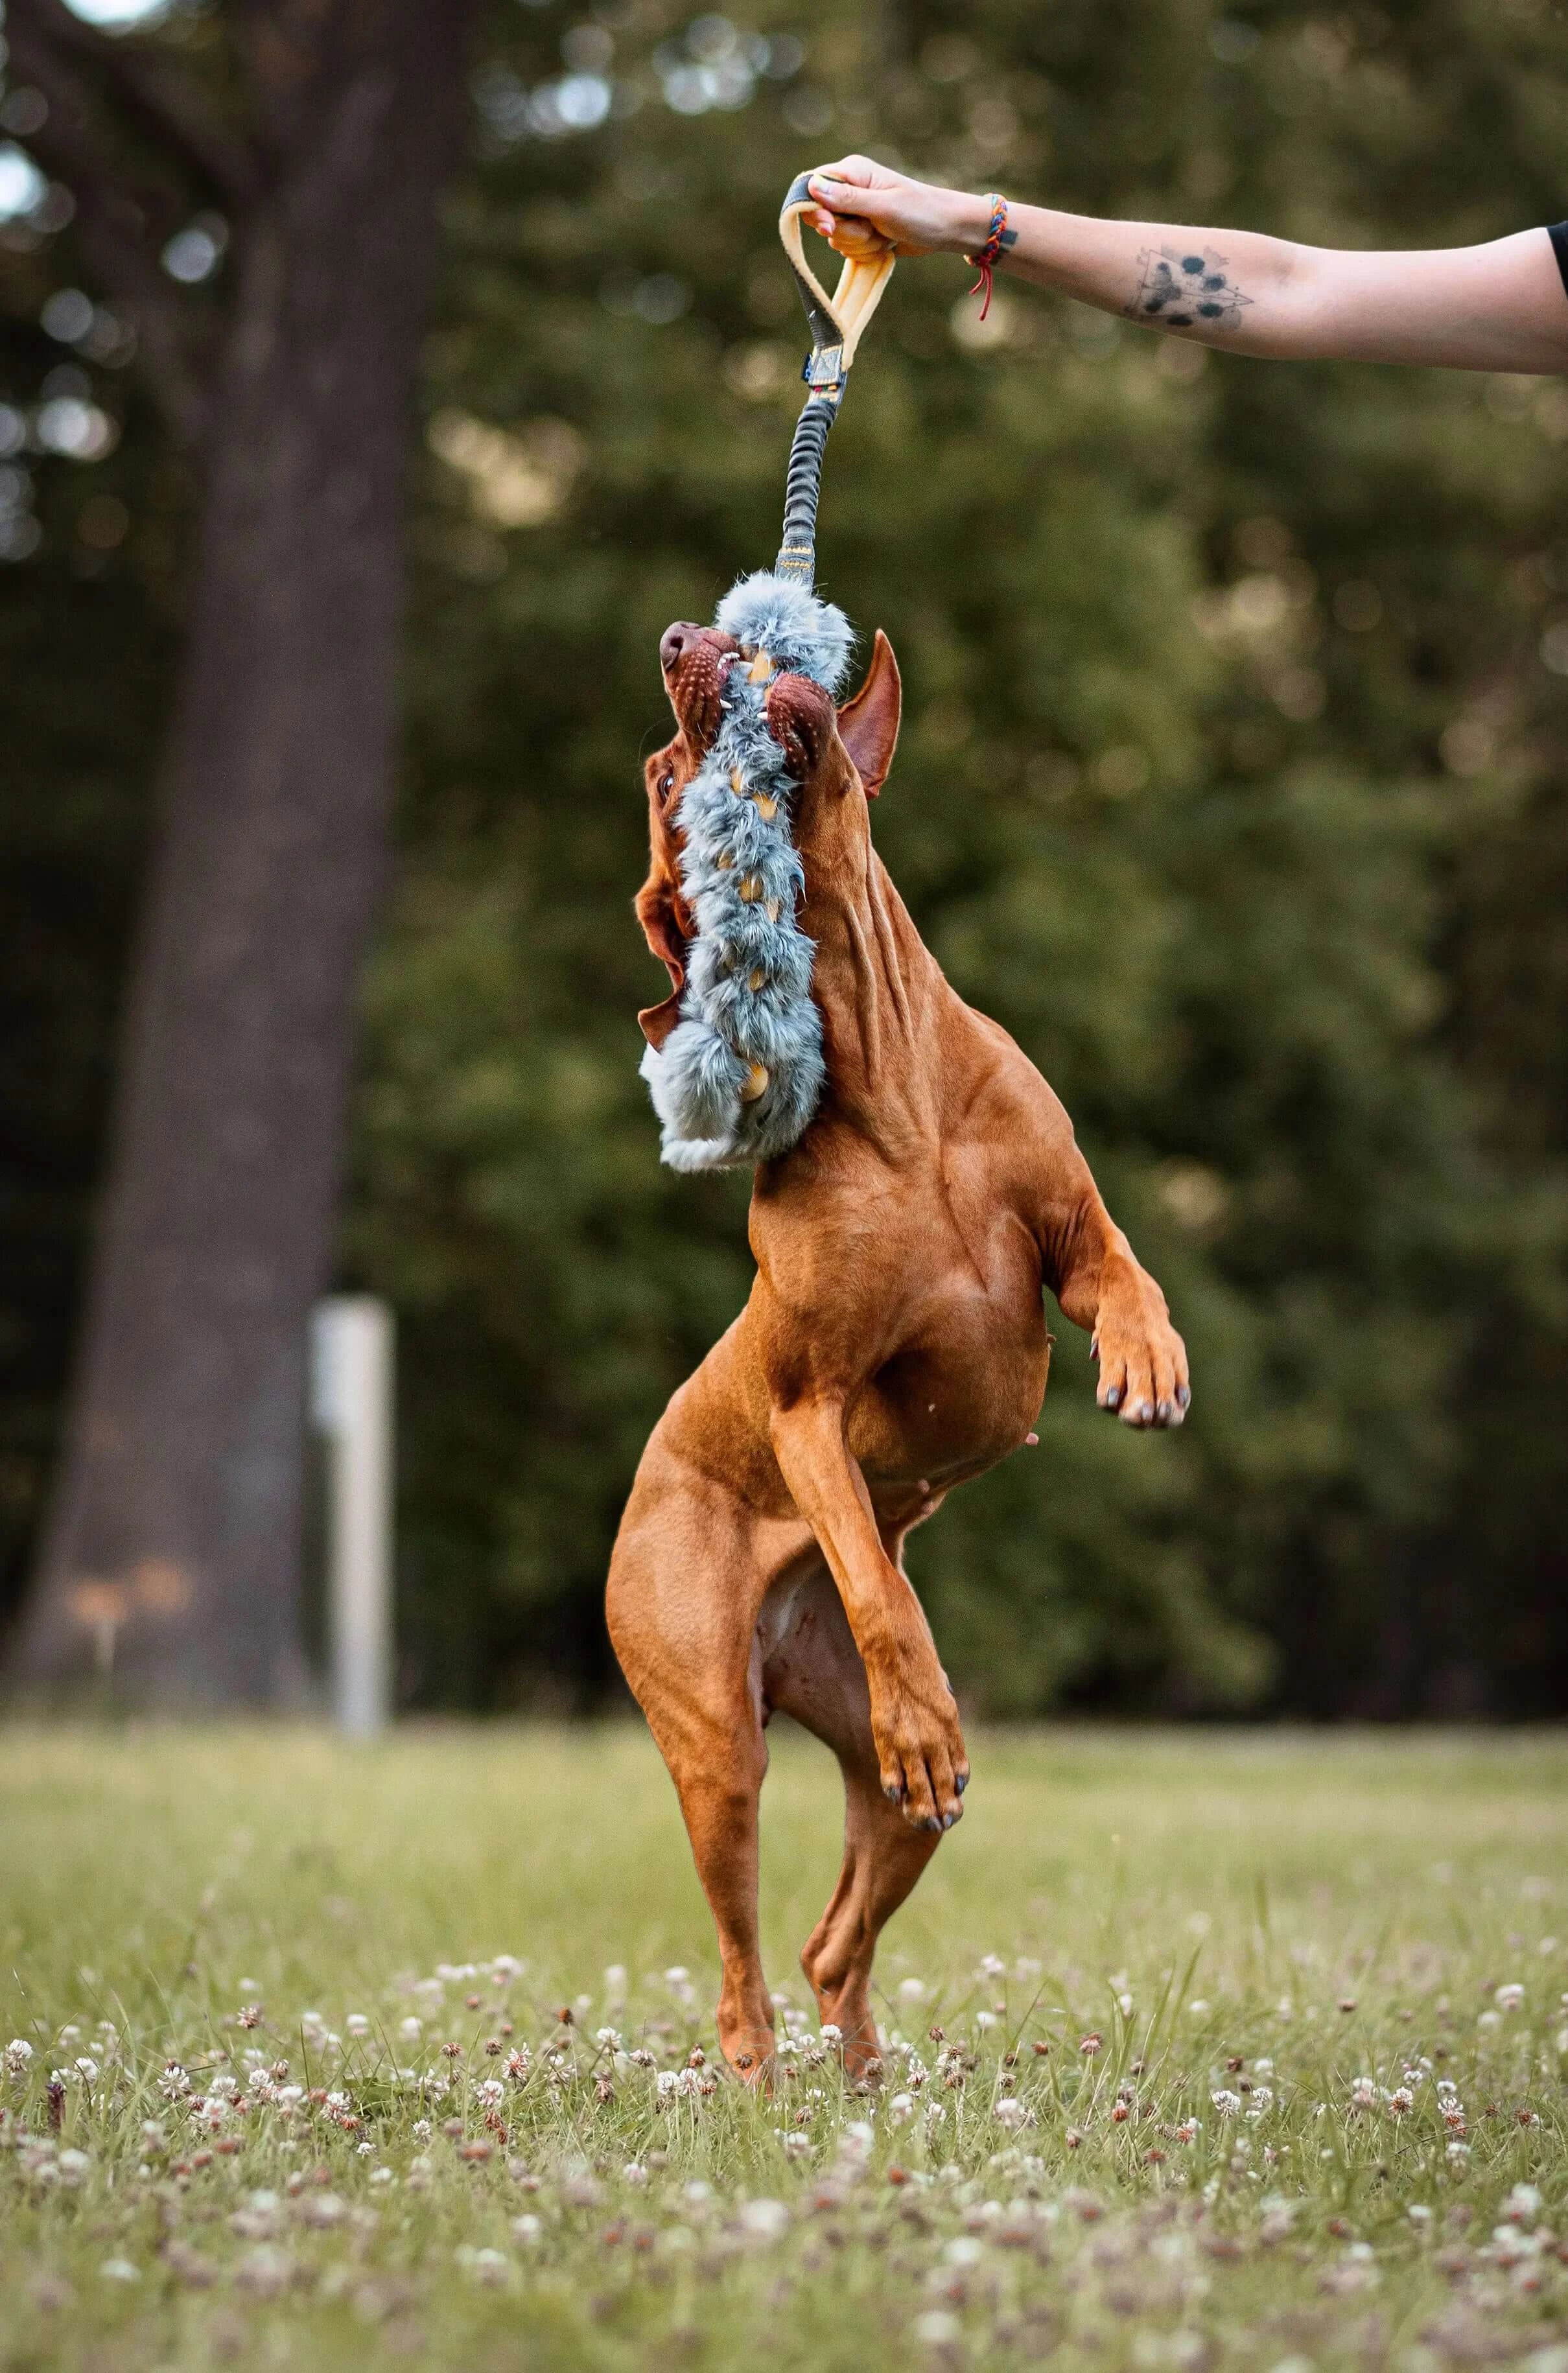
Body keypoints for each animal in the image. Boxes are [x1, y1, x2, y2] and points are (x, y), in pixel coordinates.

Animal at [612, 612, 1186, 2079]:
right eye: (666, 783)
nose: (686, 634)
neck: (888, 1075)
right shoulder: (808, 1407)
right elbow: (877, 1580)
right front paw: (919, 1695)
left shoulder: (1077, 1236)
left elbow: (1128, 1277)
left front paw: (1146, 1364)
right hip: (718, 1741)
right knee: (745, 1971)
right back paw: (765, 2081)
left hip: (884, 1797)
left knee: (833, 1940)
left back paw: (871, 2083)